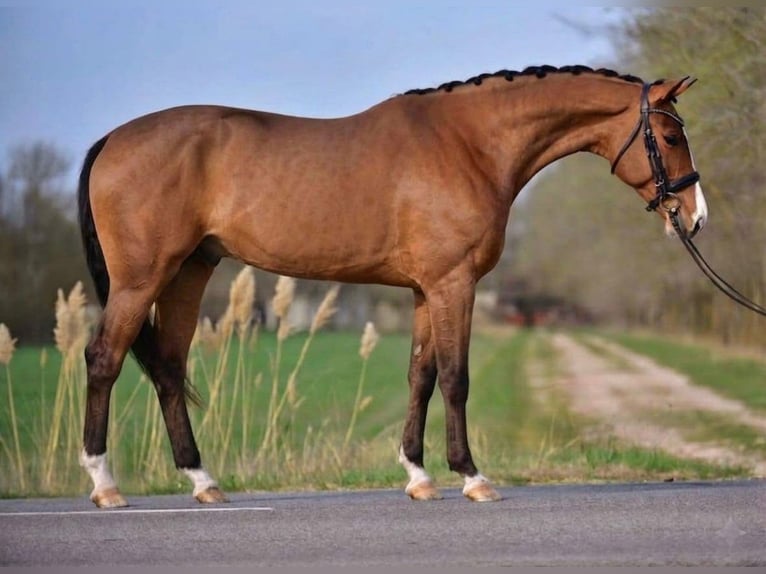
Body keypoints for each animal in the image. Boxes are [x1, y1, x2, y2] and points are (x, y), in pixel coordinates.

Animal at [77, 65, 707, 507]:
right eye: (671, 135)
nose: (695, 217)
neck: (469, 145)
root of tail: (110, 139)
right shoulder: (454, 284)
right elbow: (455, 378)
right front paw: (473, 477)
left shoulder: (425, 290)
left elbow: (420, 376)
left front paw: (419, 476)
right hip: (141, 279)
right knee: (104, 358)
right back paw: (106, 485)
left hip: (189, 272)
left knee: (168, 368)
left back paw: (203, 481)